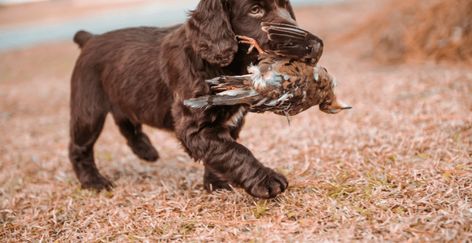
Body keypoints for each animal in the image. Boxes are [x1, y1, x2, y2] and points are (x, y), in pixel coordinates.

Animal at [69, 0, 298, 198]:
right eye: (255, 10)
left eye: (285, 5)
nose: (297, 38)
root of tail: (90, 38)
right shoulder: (194, 126)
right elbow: (234, 151)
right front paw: (265, 180)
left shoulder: (229, 122)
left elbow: (222, 151)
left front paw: (217, 184)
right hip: (89, 110)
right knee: (79, 148)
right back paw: (94, 181)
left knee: (125, 120)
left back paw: (146, 151)